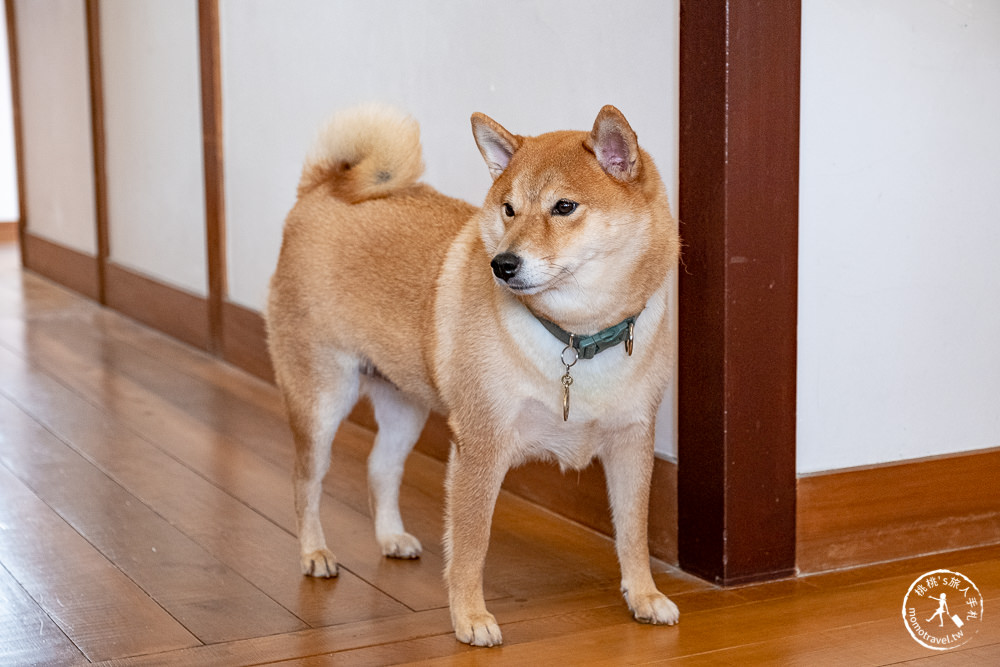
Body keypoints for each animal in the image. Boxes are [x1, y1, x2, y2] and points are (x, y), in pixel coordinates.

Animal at [266, 105, 684, 648]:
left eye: (564, 207)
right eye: (508, 209)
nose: (501, 264)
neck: (577, 337)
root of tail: (320, 190)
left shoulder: (633, 439)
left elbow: (633, 531)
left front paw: (644, 595)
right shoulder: (482, 446)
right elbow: (470, 544)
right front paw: (469, 616)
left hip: (403, 404)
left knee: (381, 467)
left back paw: (390, 537)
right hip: (322, 400)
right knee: (306, 481)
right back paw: (314, 553)